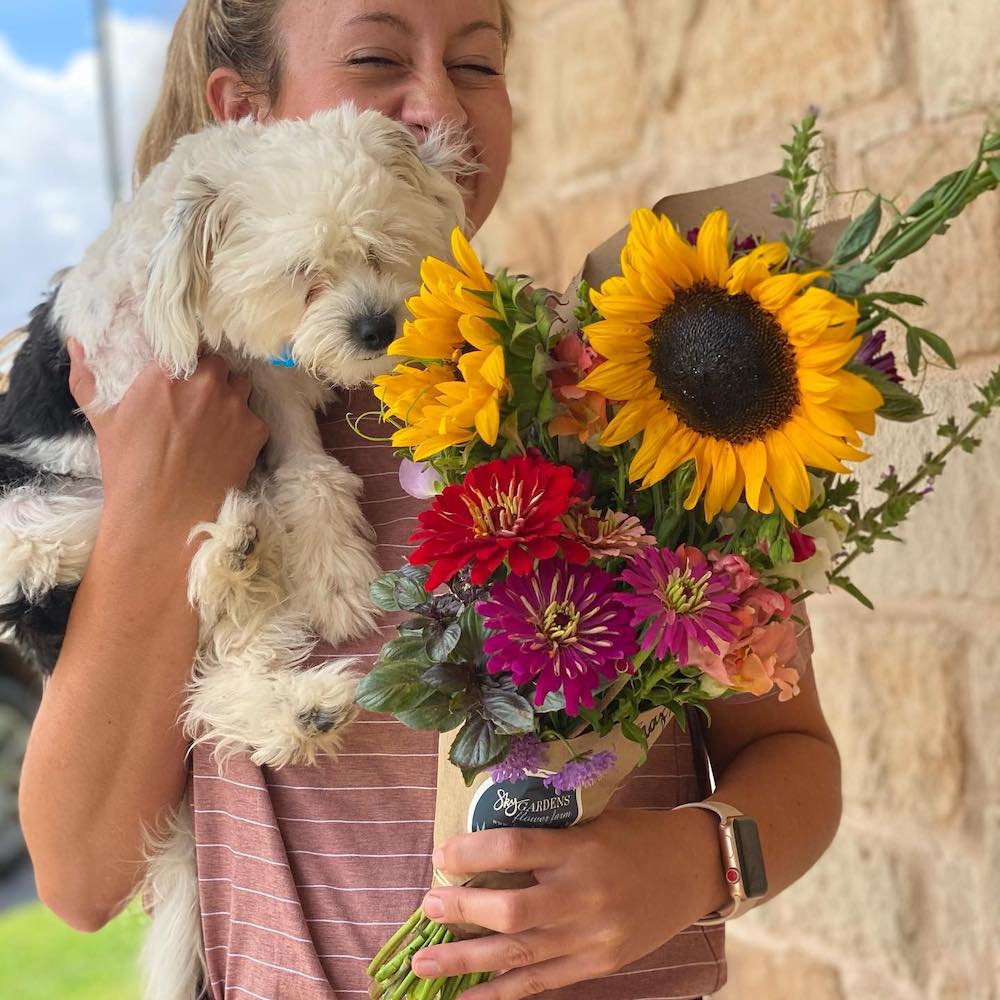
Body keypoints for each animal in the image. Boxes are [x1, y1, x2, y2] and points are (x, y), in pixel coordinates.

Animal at [0, 103, 468, 1000]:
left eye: (381, 247)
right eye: (301, 273)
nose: (376, 327)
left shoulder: (269, 379)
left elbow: (308, 468)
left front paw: (332, 568)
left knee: (226, 657)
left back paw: (287, 680)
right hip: (38, 523)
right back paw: (235, 573)